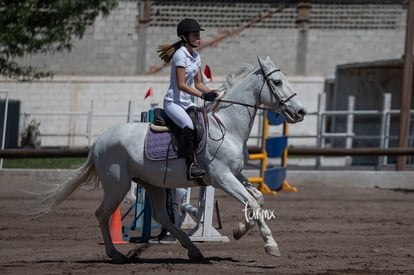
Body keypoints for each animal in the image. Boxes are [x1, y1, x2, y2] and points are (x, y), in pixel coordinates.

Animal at [36, 56, 304, 266]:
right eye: (277, 82)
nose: (300, 112)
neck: (228, 125)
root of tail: (99, 141)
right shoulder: (223, 178)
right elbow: (254, 203)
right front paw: (271, 245)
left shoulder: (235, 174)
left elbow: (256, 199)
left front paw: (239, 231)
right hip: (118, 185)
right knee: (102, 214)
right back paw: (116, 254)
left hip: (152, 183)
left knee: (161, 216)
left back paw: (193, 250)